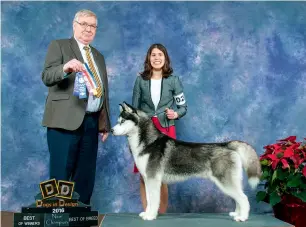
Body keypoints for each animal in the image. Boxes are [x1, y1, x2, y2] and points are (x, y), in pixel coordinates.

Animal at [111, 102, 262, 222]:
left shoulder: (153, 179)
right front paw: (147, 213)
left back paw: (242, 217)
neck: (148, 142)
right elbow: (148, 199)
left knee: (243, 198)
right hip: (232, 181)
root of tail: (226, 144)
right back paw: (237, 214)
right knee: (239, 198)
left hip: (225, 182)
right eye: (118, 121)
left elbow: (153, 200)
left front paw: (151, 216)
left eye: (122, 121)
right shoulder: (148, 179)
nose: (111, 130)